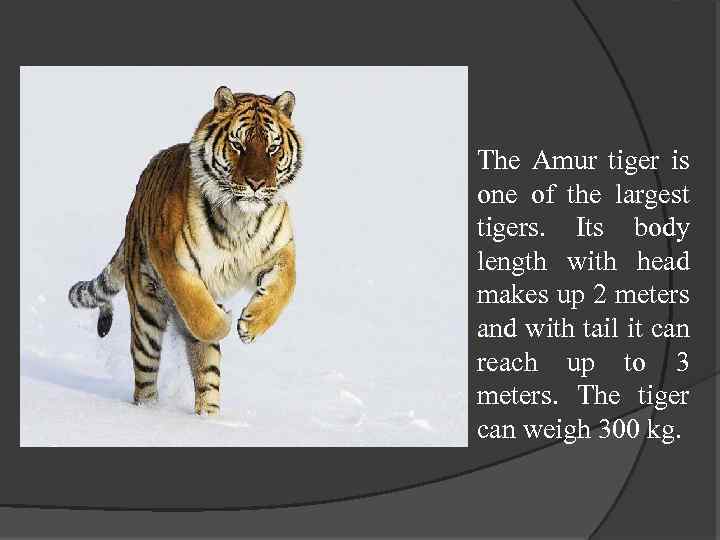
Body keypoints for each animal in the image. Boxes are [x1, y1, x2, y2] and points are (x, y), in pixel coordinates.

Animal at [68, 86, 303, 415]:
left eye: (272, 148)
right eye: (238, 145)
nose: (256, 184)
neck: (240, 217)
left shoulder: (279, 250)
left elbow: (284, 287)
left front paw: (252, 324)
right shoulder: (174, 261)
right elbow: (200, 313)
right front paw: (224, 319)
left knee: (207, 377)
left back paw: (208, 419)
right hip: (146, 315)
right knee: (145, 376)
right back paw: (149, 410)